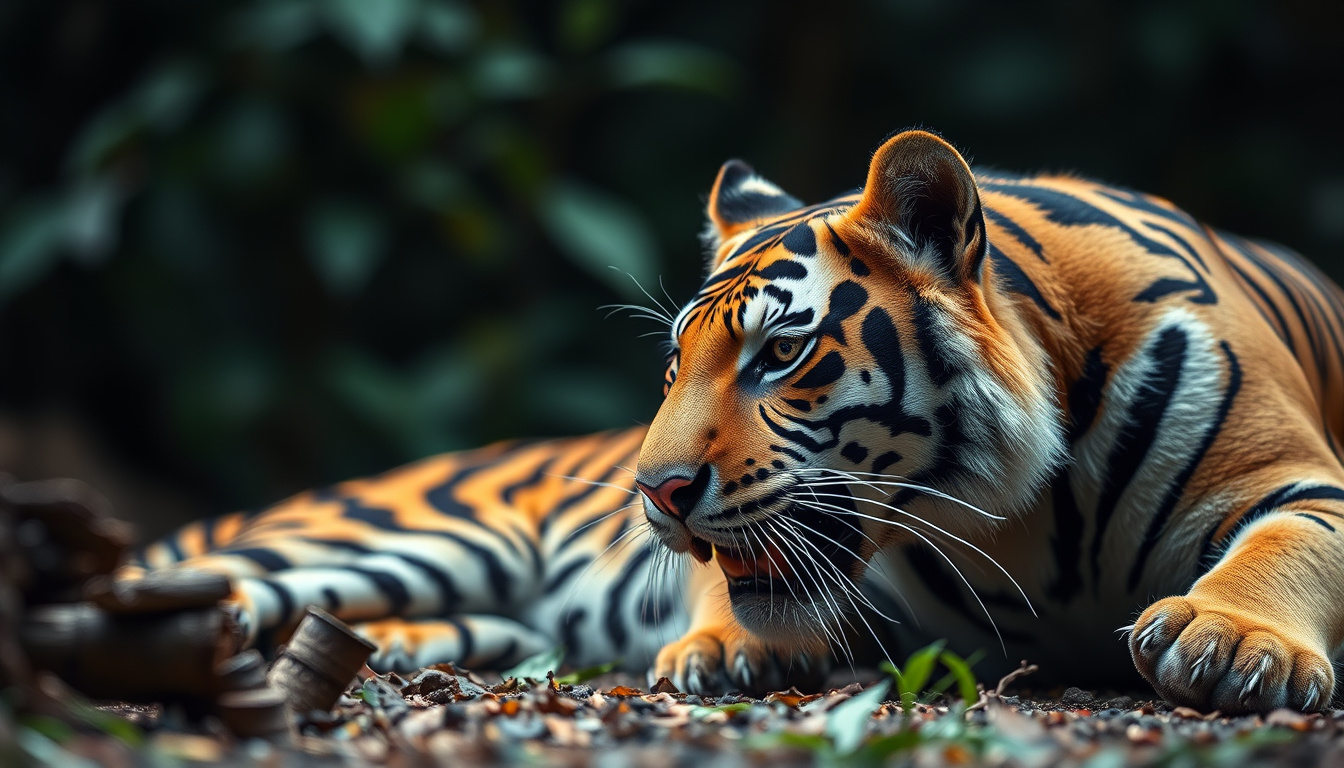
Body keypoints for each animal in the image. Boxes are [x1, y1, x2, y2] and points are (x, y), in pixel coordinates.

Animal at [128, 129, 1344, 715]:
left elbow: (1289, 545)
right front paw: (715, 650)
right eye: (675, 366)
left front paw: (1233, 644)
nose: (654, 496)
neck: (1021, 518)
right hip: (374, 542)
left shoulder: (1299, 476)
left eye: (781, 355)